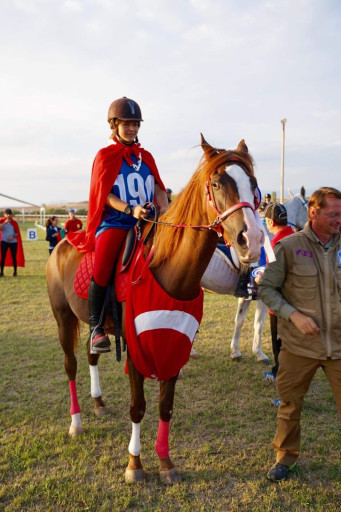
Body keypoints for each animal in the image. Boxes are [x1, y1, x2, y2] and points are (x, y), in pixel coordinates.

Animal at [45, 135, 262, 484]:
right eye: (217, 183)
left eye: (252, 183)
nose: (251, 239)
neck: (167, 269)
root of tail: (67, 240)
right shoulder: (136, 350)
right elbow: (138, 405)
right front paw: (135, 465)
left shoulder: (175, 342)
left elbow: (165, 405)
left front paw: (165, 463)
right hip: (63, 318)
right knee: (71, 365)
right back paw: (76, 423)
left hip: (95, 323)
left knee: (92, 354)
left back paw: (99, 402)